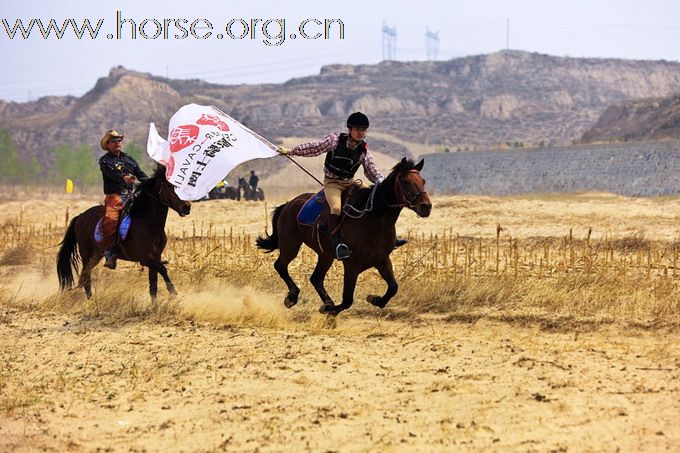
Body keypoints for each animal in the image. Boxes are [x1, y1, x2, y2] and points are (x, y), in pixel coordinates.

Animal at [57, 166, 191, 301]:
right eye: (170, 185)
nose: (187, 207)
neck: (150, 224)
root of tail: (80, 217)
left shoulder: (156, 257)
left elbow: (153, 286)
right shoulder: (145, 259)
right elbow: (162, 269)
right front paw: (172, 291)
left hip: (96, 255)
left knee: (84, 277)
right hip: (86, 255)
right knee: (86, 278)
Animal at [256, 158, 431, 316]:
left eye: (423, 181)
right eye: (406, 182)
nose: (426, 207)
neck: (373, 220)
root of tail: (288, 204)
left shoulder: (382, 260)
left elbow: (393, 287)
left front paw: (374, 299)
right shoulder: (352, 265)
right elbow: (347, 300)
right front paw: (331, 310)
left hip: (325, 255)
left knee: (315, 278)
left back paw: (327, 302)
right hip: (291, 245)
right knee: (280, 266)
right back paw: (293, 297)